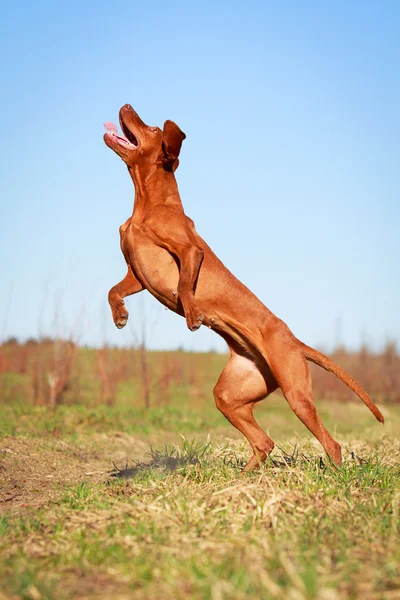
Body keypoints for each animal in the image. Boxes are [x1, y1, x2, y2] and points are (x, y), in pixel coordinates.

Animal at [104, 105, 384, 472]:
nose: (125, 106)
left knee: (330, 444)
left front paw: (193, 314)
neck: (148, 204)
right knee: (264, 442)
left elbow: (185, 284)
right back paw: (244, 477)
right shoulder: (136, 274)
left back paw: (336, 478)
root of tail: (295, 342)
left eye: (151, 127)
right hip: (230, 395)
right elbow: (112, 290)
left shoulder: (191, 251)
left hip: (296, 394)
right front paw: (120, 315)